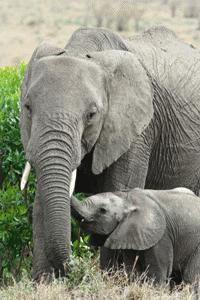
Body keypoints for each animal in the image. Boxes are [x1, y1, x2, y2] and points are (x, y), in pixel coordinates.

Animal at [71, 188, 200, 284]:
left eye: (103, 210)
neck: (126, 199)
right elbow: (133, 269)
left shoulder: (162, 235)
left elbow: (158, 272)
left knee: (190, 277)